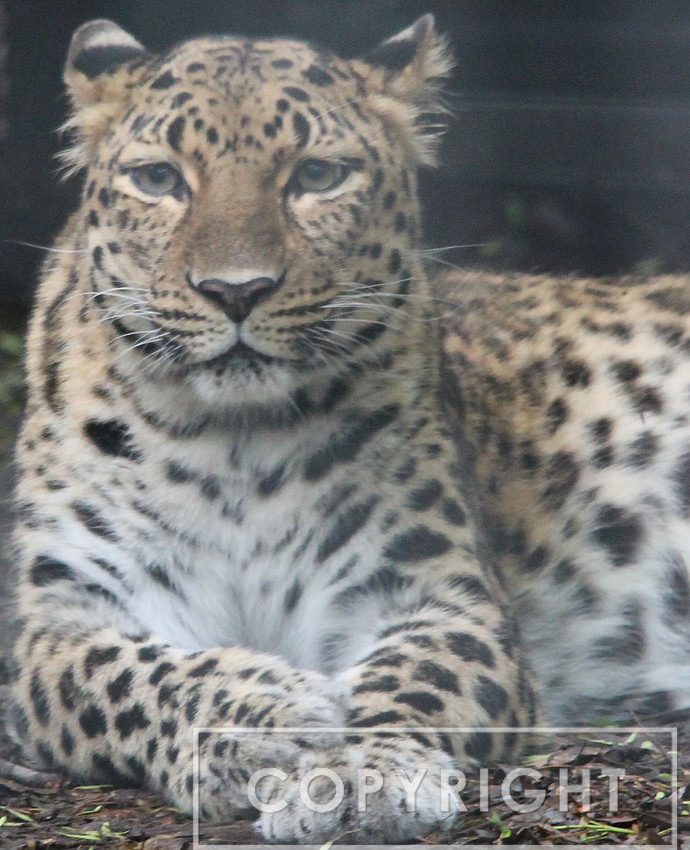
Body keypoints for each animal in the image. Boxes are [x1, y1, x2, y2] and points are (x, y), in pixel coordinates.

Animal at [4, 11, 689, 845]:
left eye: (318, 176)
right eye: (160, 179)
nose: (236, 291)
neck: (231, 443)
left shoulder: (436, 594)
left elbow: (414, 677)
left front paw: (363, 771)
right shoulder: (62, 621)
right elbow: (137, 679)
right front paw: (266, 717)